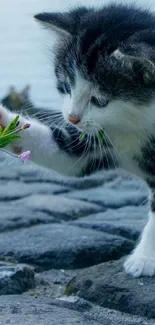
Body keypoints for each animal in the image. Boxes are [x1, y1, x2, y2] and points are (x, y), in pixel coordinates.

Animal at [1, 2, 155, 276]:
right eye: (66, 86)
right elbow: (65, 155)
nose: (72, 118)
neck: (135, 125)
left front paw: (145, 258)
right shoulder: (99, 138)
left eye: (100, 100)